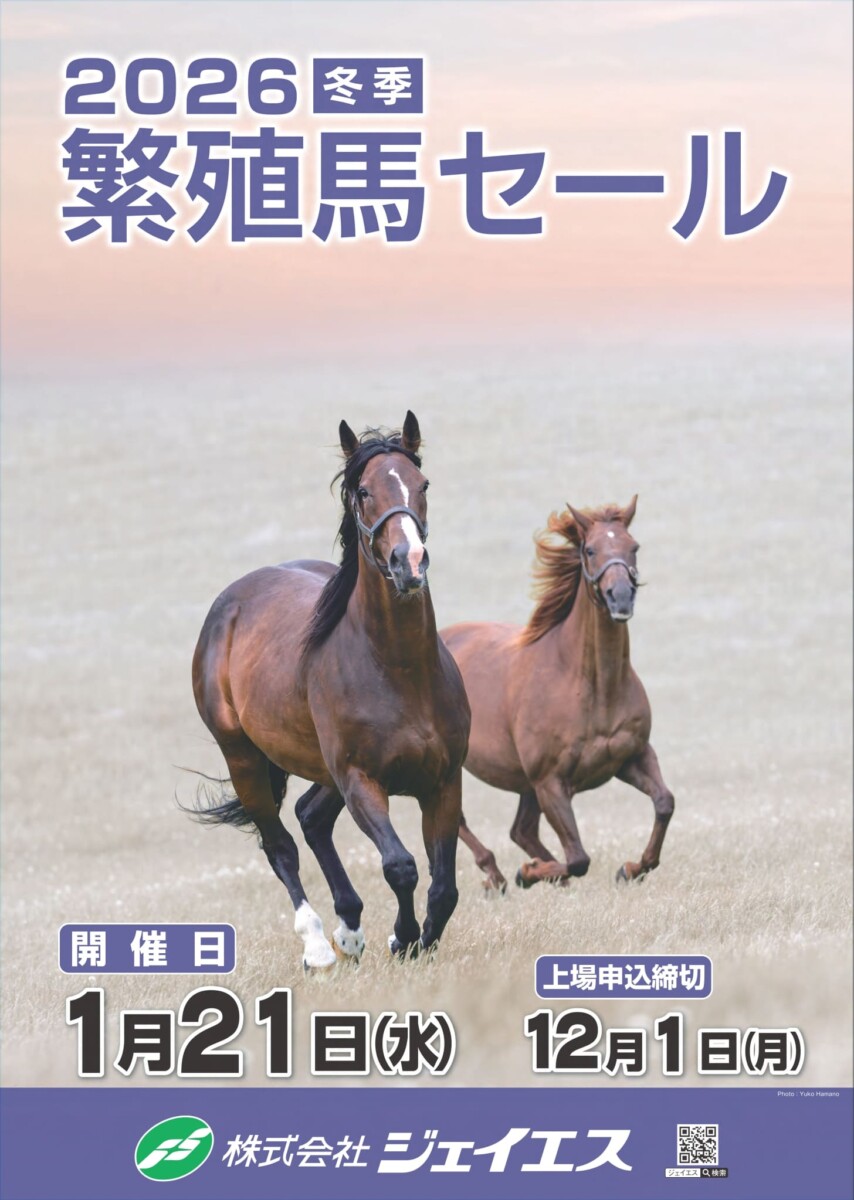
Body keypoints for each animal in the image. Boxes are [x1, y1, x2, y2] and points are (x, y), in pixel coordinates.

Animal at [188, 413, 470, 969]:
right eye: (363, 491)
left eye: (422, 484)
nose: (410, 562)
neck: (399, 670)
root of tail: (229, 604)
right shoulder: (362, 781)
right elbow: (401, 865)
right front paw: (403, 938)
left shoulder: (444, 781)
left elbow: (444, 886)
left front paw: (414, 940)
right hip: (245, 758)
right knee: (280, 845)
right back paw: (319, 944)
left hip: (322, 769)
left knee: (311, 817)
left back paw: (351, 930)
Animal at [442, 497, 674, 891]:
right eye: (590, 549)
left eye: (634, 547)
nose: (620, 598)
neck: (592, 686)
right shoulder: (550, 782)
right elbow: (579, 858)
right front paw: (528, 873)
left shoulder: (633, 757)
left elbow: (664, 803)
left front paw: (631, 868)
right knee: (460, 821)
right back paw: (497, 876)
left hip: (525, 785)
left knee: (521, 831)